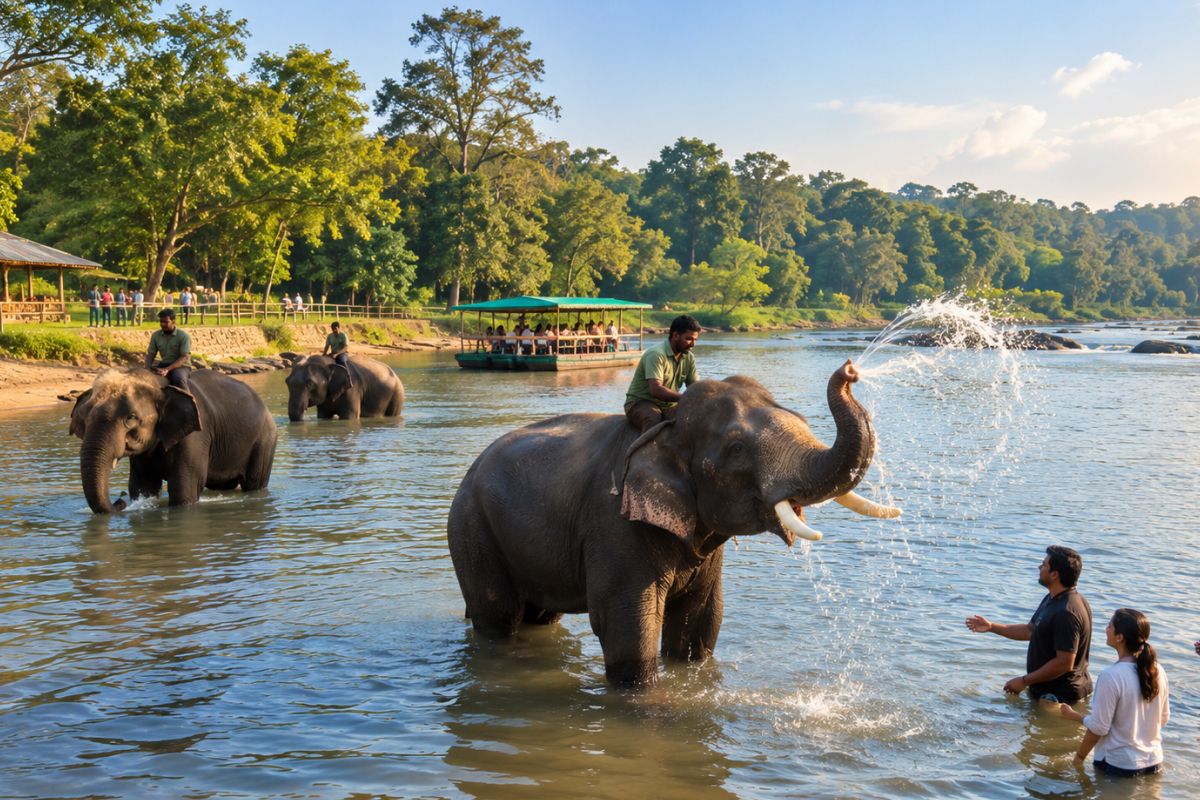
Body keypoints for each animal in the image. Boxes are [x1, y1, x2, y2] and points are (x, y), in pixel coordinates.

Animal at [70, 367, 277, 513]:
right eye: (84, 417)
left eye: (131, 417)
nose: (119, 501)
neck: (158, 383)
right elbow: (143, 485)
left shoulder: (196, 435)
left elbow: (183, 486)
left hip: (265, 440)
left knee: (254, 483)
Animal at [447, 360, 901, 686]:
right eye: (737, 448)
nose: (850, 370)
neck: (669, 429)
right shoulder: (614, 525)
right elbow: (626, 628)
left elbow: (700, 624)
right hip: (471, 528)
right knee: (498, 617)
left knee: (540, 615)